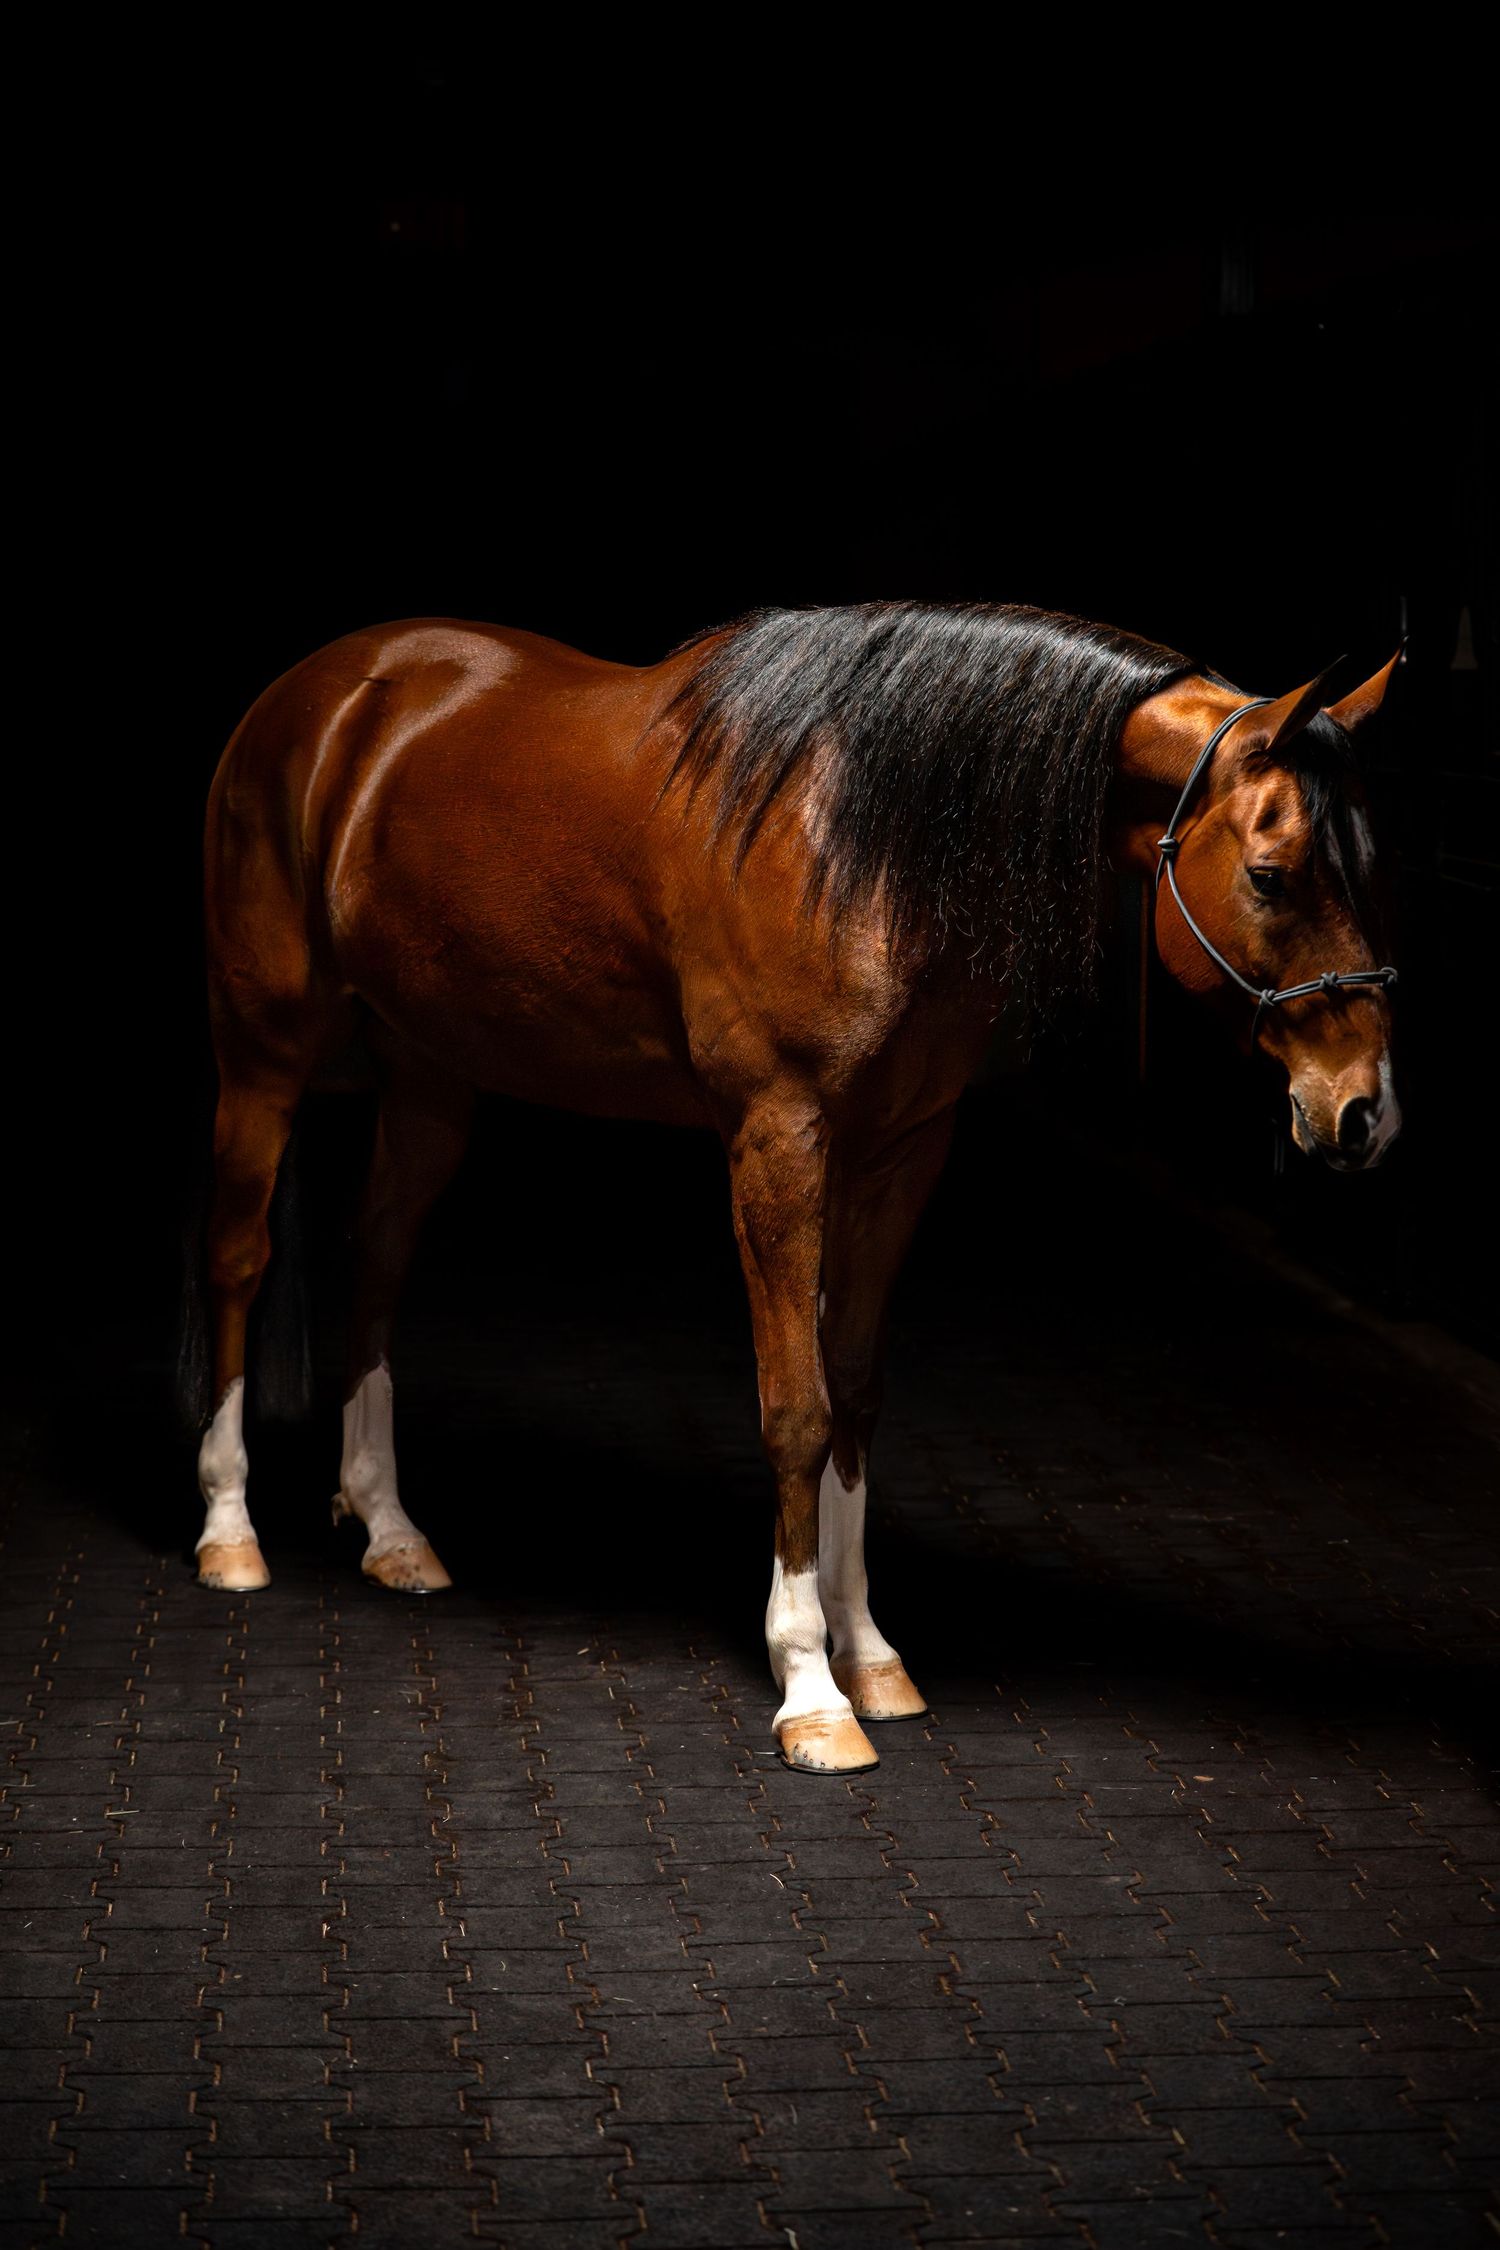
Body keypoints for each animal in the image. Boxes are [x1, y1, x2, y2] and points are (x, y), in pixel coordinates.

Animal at [189, 603, 1400, 1774]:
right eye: (1270, 875)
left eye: (1367, 865)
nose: (1363, 1111)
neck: (866, 841)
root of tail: (319, 693)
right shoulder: (779, 1140)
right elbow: (795, 1407)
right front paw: (810, 1689)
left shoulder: (900, 1153)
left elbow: (854, 1390)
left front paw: (870, 1653)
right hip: (261, 1050)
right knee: (240, 1259)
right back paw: (231, 1529)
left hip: (430, 1081)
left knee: (375, 1261)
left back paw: (388, 1527)